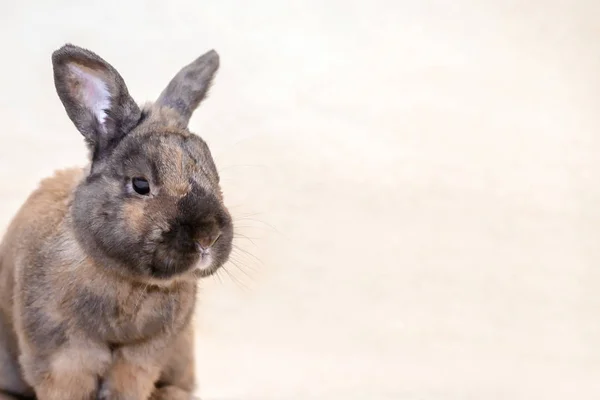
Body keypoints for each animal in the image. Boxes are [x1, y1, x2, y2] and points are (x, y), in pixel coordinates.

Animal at [0, 43, 233, 400]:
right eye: (140, 184)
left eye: (215, 177)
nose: (208, 237)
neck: (128, 281)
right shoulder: (64, 360)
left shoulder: (141, 360)